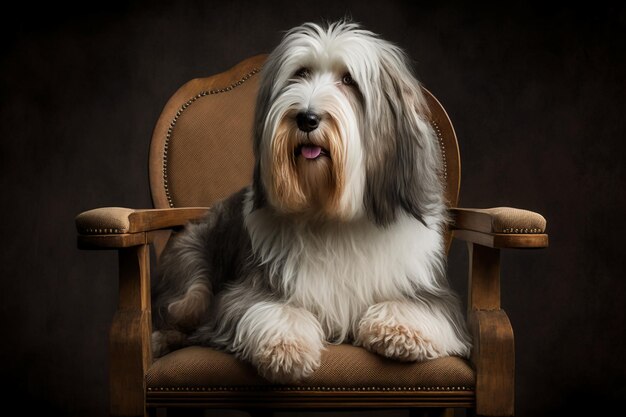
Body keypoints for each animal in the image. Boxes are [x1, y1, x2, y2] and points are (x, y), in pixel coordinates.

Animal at [150, 20, 468, 384]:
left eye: (348, 80)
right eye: (300, 73)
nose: (306, 118)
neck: (331, 214)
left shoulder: (429, 291)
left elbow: (420, 307)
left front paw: (400, 331)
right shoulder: (248, 290)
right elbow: (271, 309)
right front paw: (286, 348)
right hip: (191, 279)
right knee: (178, 308)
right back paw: (160, 339)